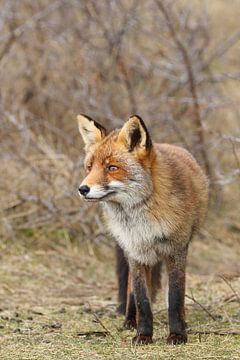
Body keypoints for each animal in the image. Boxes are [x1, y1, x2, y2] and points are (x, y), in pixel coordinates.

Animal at [77, 114, 208, 346]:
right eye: (90, 167)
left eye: (112, 168)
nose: (83, 189)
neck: (142, 224)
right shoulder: (135, 253)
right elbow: (141, 299)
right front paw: (143, 335)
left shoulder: (176, 251)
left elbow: (175, 297)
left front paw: (177, 334)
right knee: (131, 291)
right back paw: (130, 321)